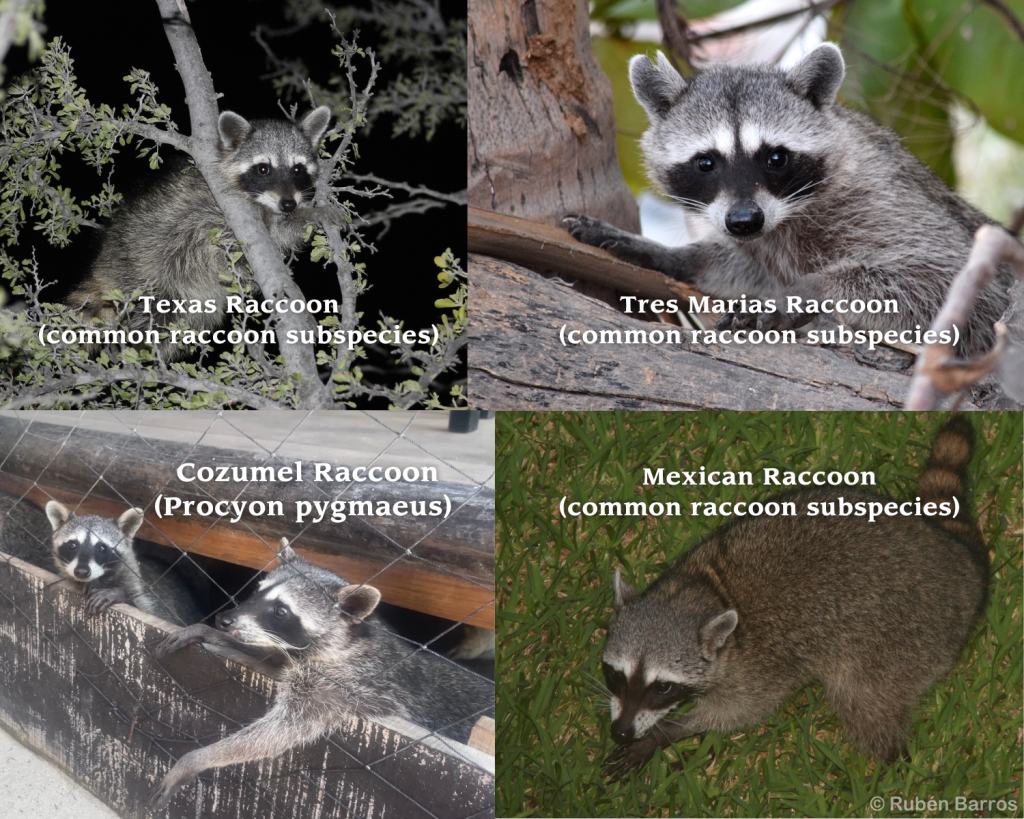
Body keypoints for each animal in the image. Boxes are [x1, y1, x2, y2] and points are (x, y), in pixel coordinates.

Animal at [46, 501, 204, 626]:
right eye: (72, 545)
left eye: (102, 548)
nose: (82, 571)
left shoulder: (136, 584)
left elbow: (148, 611)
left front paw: (118, 593)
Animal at [66, 106, 331, 361]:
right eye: (264, 169)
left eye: (297, 169)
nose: (288, 204)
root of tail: (103, 266)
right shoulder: (215, 213)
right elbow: (238, 244)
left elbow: (280, 231)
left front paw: (308, 214)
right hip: (143, 265)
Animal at [148, 539, 495, 810]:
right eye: (256, 593)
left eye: (281, 611)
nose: (224, 620)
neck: (347, 641)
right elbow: (274, 659)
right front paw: (209, 632)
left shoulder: (343, 684)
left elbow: (280, 731)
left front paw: (198, 758)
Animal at [564, 44, 1012, 357]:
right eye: (706, 163)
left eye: (775, 158)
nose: (744, 221)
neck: (786, 216)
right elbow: (741, 266)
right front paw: (669, 254)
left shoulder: (882, 197)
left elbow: (948, 280)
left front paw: (804, 291)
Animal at [601, 416, 987, 779]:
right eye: (616, 675)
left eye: (664, 687)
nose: (620, 732)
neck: (703, 591)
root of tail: (959, 559)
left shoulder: (757, 667)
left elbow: (736, 713)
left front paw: (667, 731)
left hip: (906, 637)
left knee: (865, 703)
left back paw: (892, 763)